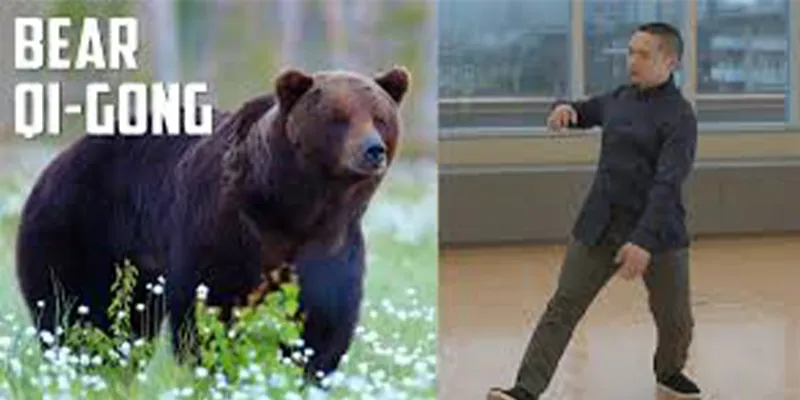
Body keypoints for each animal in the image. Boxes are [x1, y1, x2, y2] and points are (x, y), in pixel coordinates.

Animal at [14, 66, 410, 380]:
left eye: (379, 117)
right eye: (338, 118)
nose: (373, 150)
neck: (291, 206)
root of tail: (57, 160)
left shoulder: (332, 243)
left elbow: (325, 316)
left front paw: (307, 371)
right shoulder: (223, 225)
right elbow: (208, 303)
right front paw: (215, 365)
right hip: (82, 228)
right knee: (76, 308)